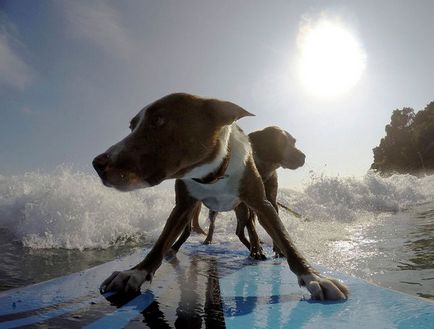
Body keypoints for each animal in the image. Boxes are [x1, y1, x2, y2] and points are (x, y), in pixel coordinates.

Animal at [171, 125, 306, 258]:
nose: (303, 156)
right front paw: (257, 250)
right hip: (218, 209)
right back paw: (208, 239)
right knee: (213, 224)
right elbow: (252, 228)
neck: (263, 170)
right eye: (281, 142)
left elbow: (275, 226)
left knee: (240, 229)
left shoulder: (270, 202)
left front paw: (278, 249)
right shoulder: (247, 203)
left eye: (294, 142)